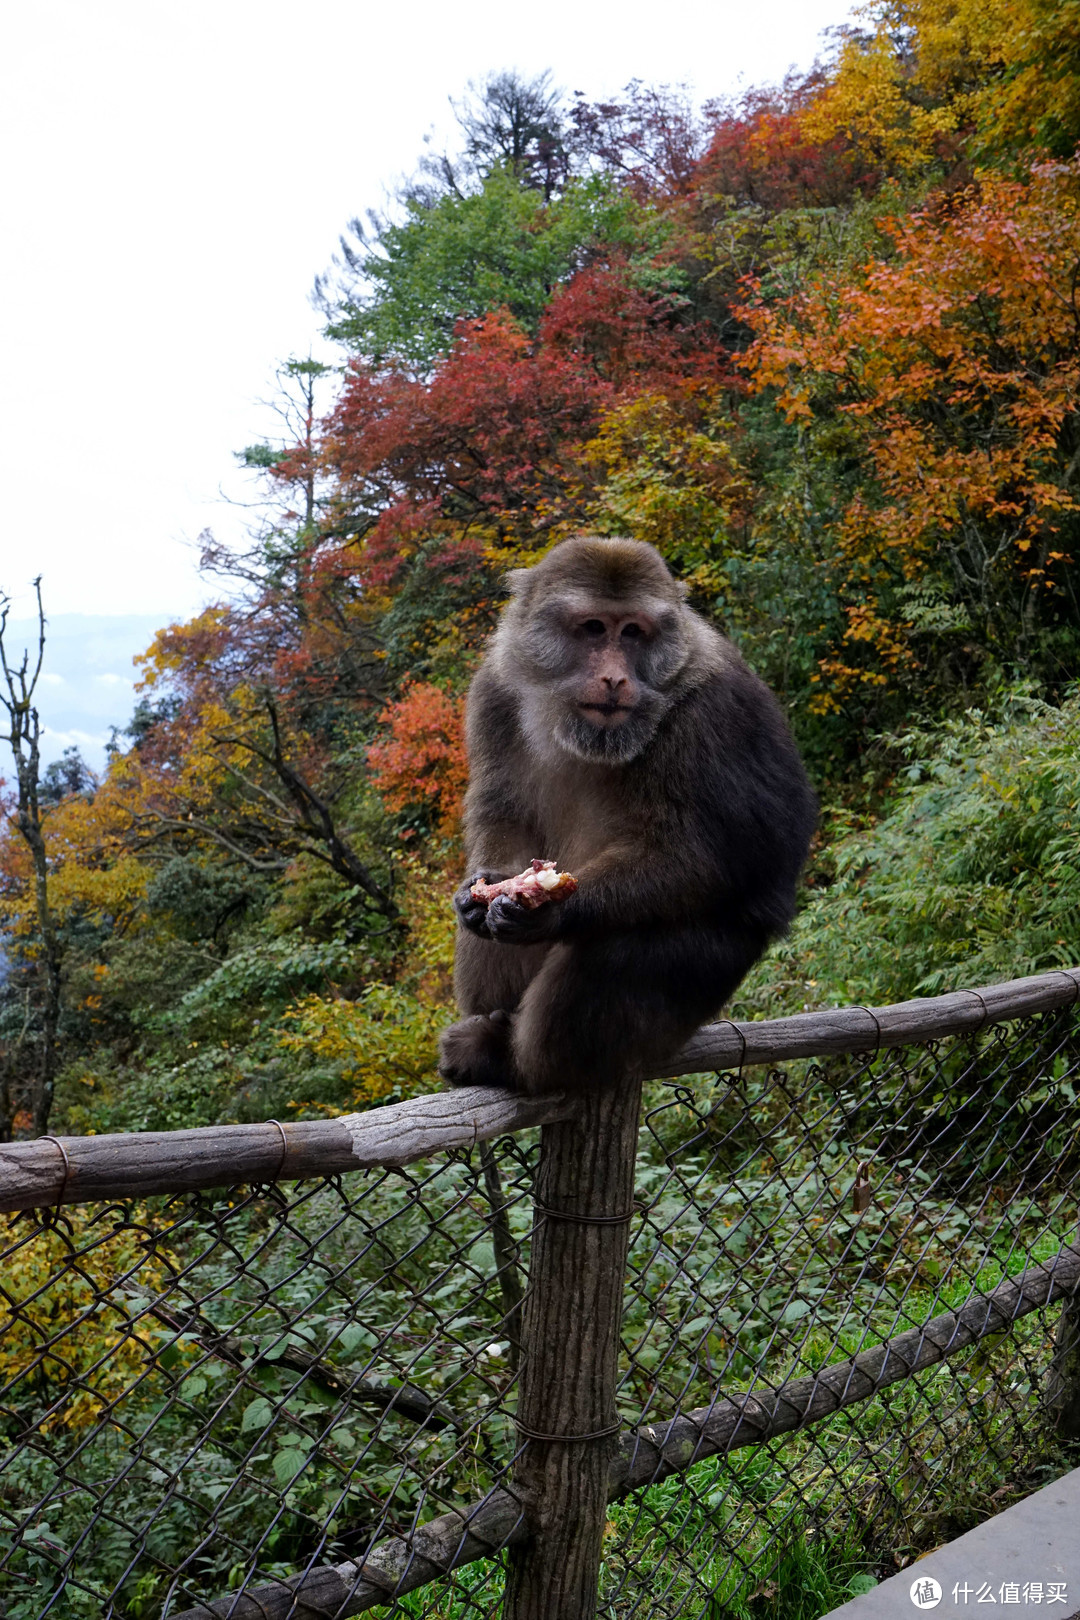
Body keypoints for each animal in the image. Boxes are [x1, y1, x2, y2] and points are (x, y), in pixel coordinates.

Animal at [433, 537, 816, 1095]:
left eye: (633, 631)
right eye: (595, 628)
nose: (614, 677)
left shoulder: (713, 715)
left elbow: (704, 856)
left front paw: (555, 910)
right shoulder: (494, 693)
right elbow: (502, 810)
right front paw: (481, 890)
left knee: (619, 947)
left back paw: (515, 1065)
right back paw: (489, 1029)